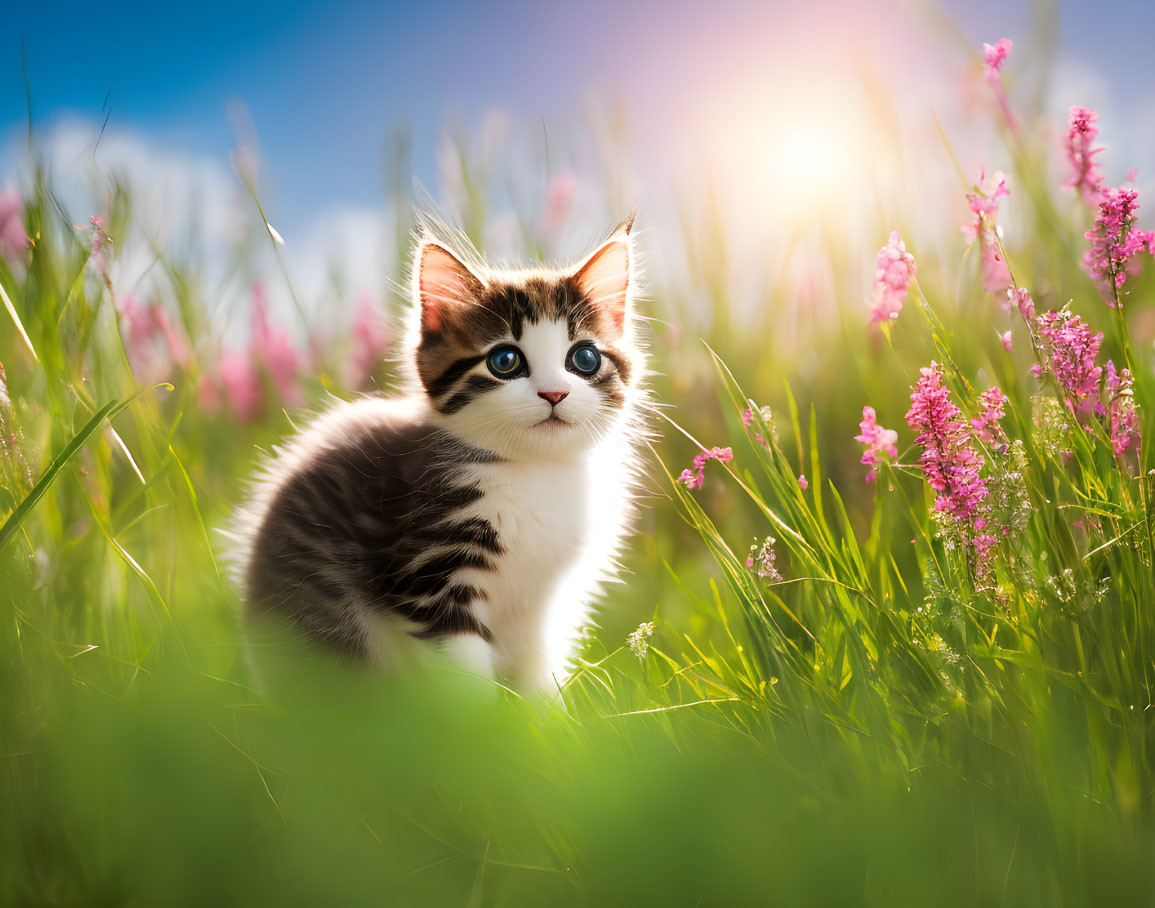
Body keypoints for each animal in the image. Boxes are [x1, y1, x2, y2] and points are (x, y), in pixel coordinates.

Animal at [232, 216, 651, 688]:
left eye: (584, 358)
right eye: (504, 361)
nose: (554, 393)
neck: (535, 472)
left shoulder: (542, 605)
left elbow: (536, 673)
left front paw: (548, 709)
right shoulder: (430, 568)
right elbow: (465, 684)